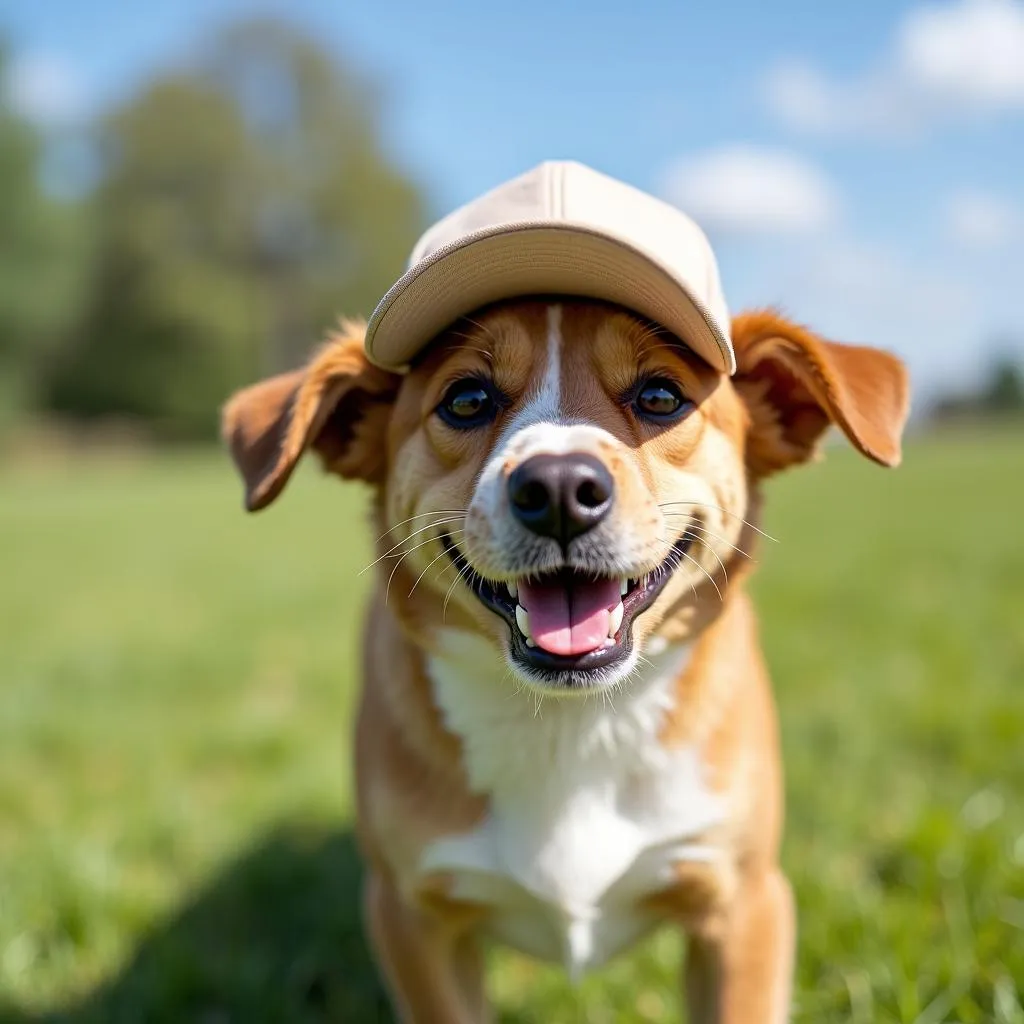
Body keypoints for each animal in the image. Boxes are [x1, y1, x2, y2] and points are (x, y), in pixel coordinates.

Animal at [222, 163, 905, 1019]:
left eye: (660, 397)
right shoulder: (412, 919)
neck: (571, 727)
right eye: (467, 399)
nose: (556, 489)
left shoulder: (744, 903)